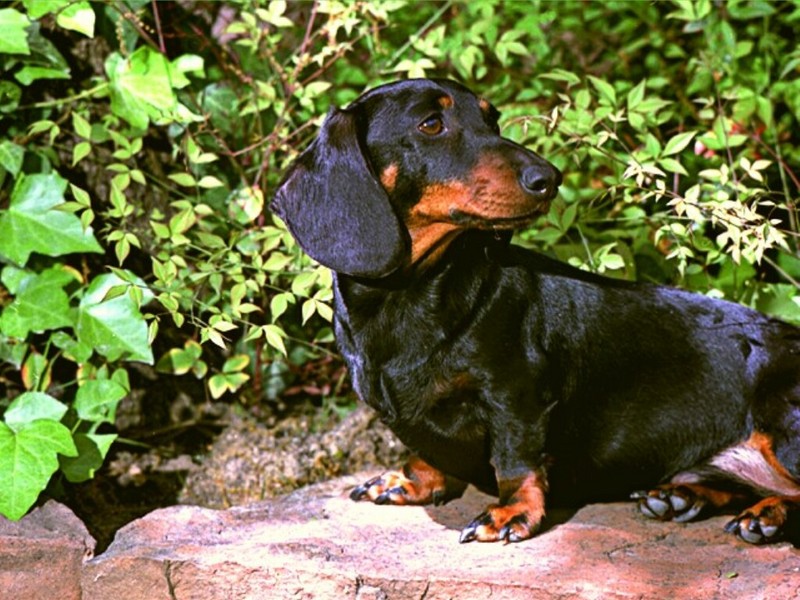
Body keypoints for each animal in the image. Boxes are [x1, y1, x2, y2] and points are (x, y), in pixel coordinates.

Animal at [270, 78, 800, 544]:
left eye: (492, 118)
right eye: (431, 124)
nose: (549, 179)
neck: (411, 295)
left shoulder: (516, 394)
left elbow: (515, 459)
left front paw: (512, 513)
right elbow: (425, 450)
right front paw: (412, 478)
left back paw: (767, 515)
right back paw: (682, 496)